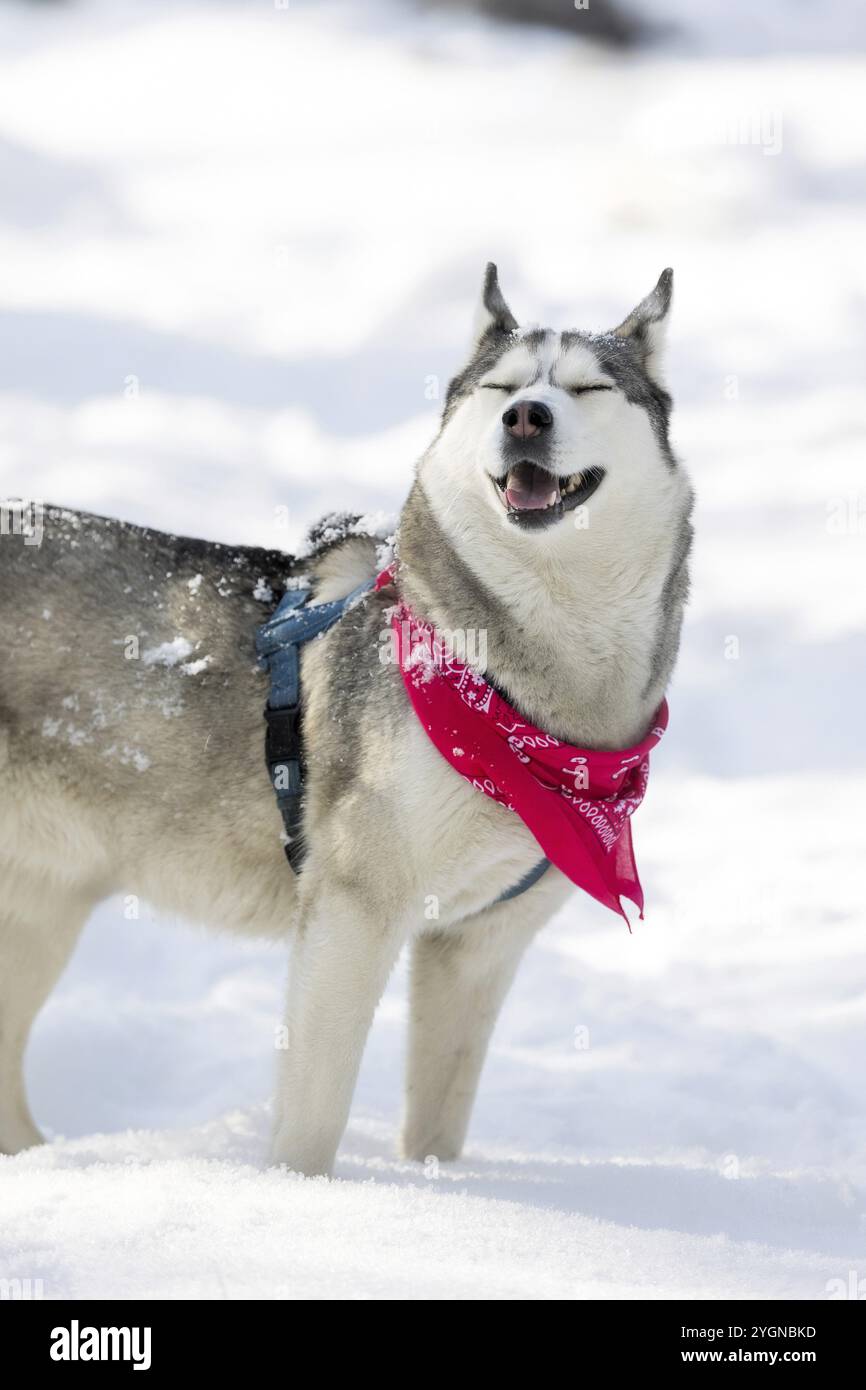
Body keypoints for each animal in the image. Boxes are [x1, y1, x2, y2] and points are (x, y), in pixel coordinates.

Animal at [0, 268, 692, 1173]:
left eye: (586, 387)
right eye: (503, 389)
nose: (526, 418)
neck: (531, 692)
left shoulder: (479, 945)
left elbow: (437, 1125)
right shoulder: (352, 911)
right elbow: (311, 1118)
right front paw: (305, 1199)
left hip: (40, 906)